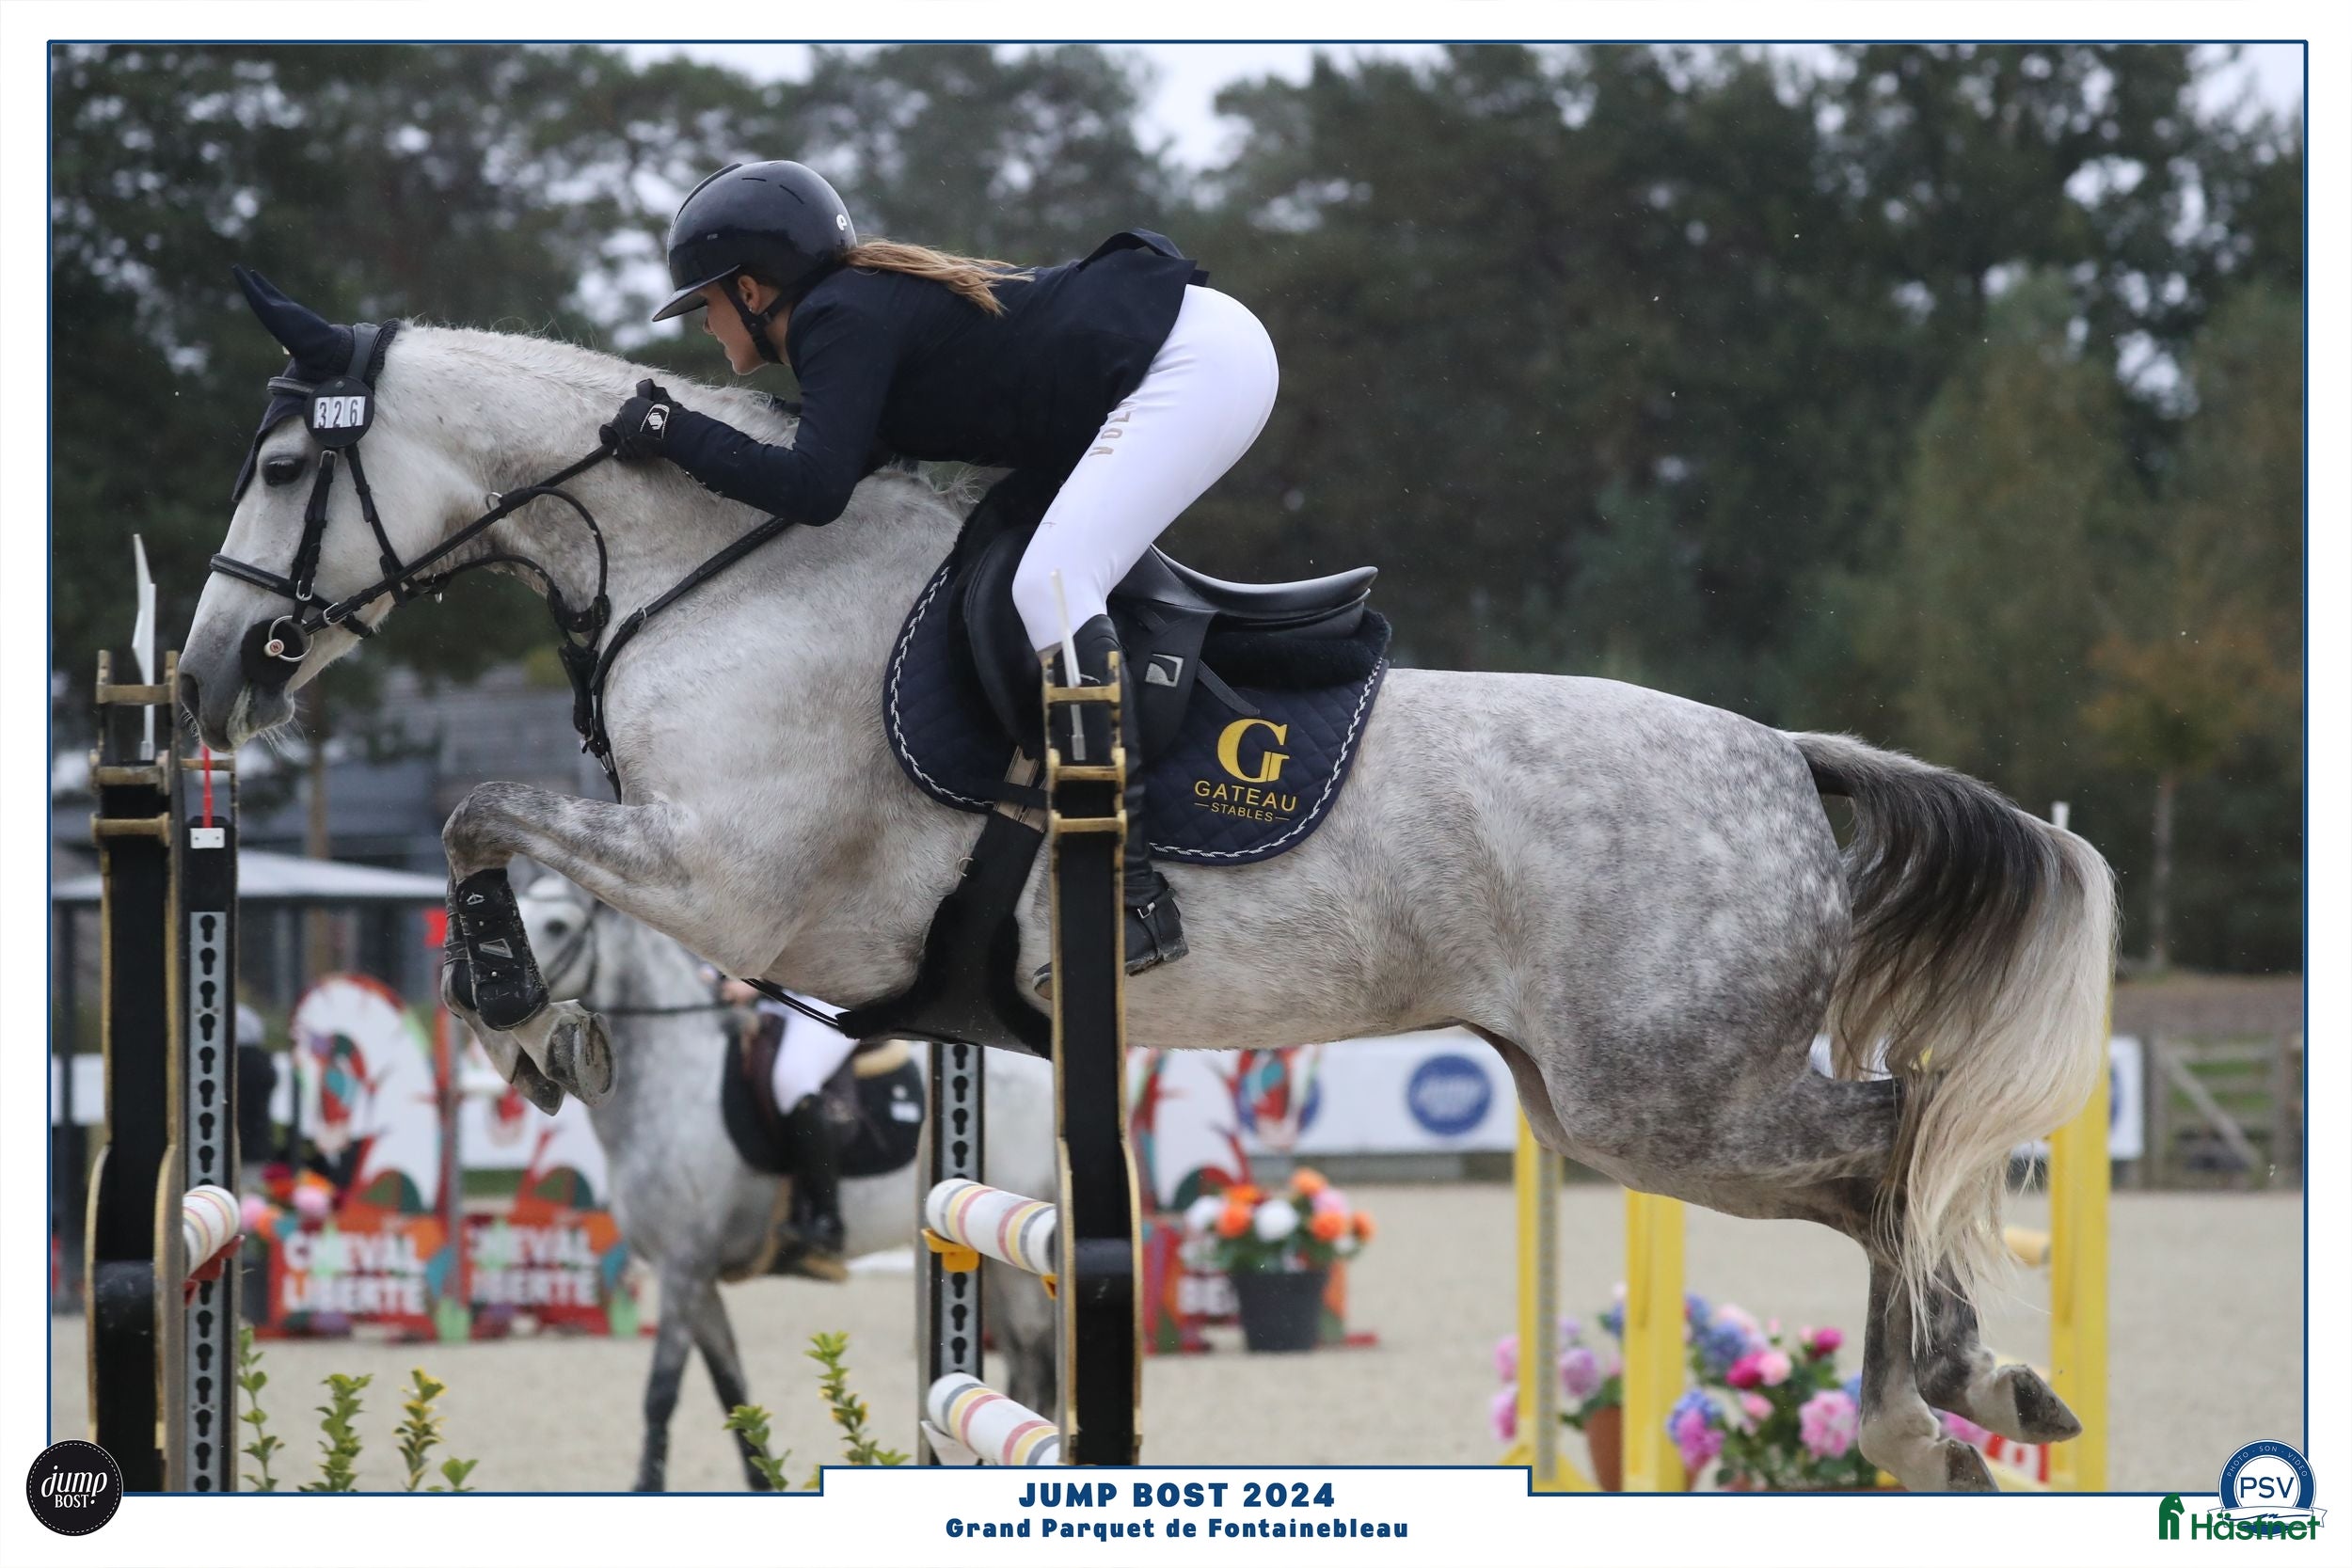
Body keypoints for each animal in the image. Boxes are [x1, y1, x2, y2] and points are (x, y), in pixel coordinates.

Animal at [514, 876, 1058, 1490]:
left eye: (556, 925)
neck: (679, 1078)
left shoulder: (682, 1268)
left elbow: (660, 1395)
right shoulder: (697, 1280)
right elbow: (733, 1394)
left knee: (1033, 1359)